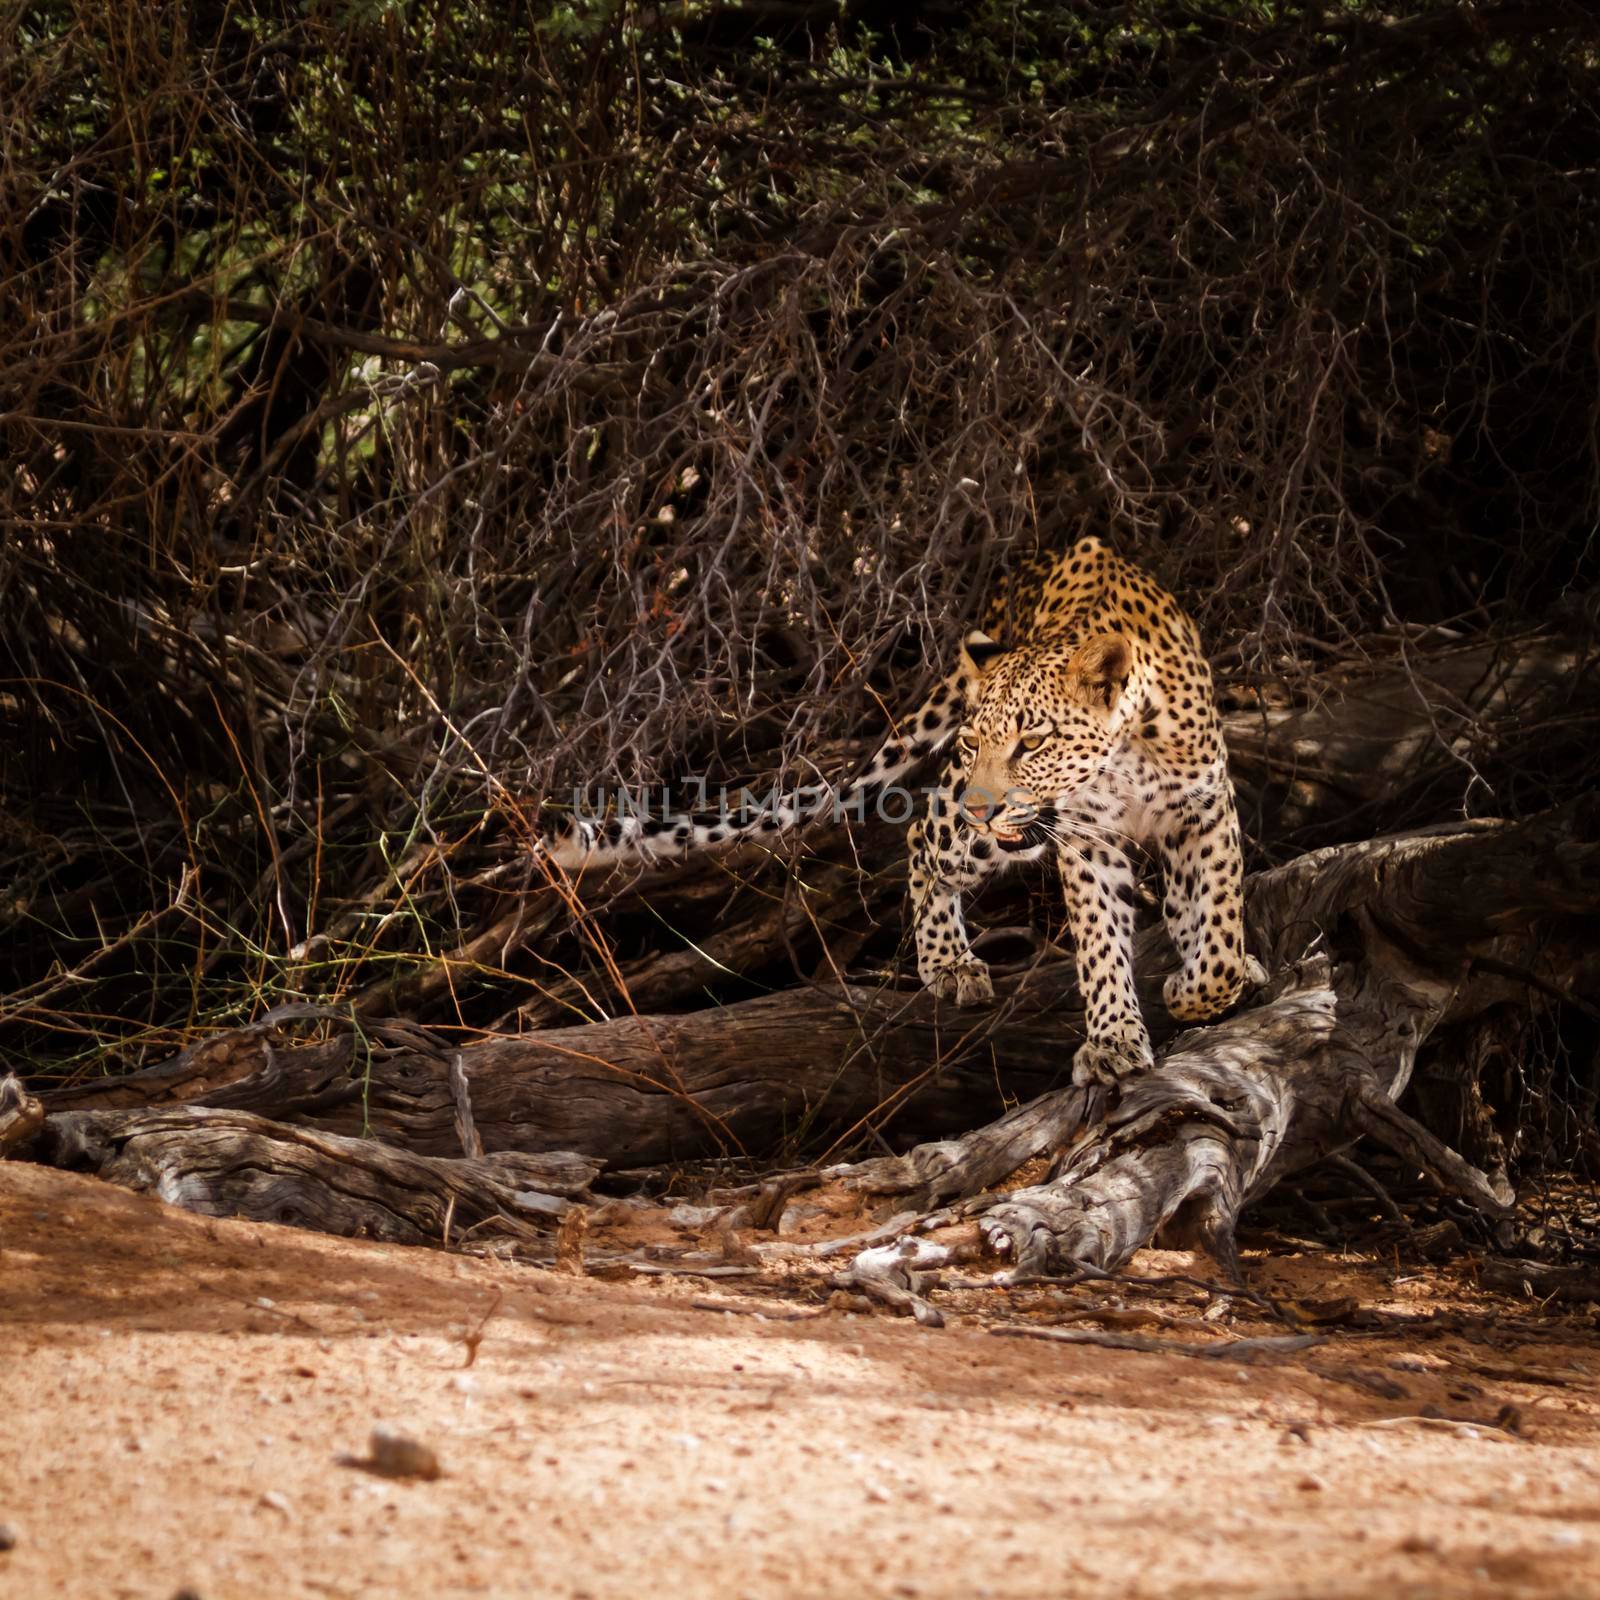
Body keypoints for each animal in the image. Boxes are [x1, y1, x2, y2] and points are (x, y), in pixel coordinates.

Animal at [544, 537, 1254, 1088]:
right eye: (974, 744)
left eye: (1033, 742)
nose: (983, 809)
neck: (1125, 754)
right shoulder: (1088, 839)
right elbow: (1102, 943)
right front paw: (1113, 1041)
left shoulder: (1207, 810)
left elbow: (1219, 923)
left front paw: (1203, 983)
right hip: (968, 835)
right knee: (920, 831)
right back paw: (948, 963)